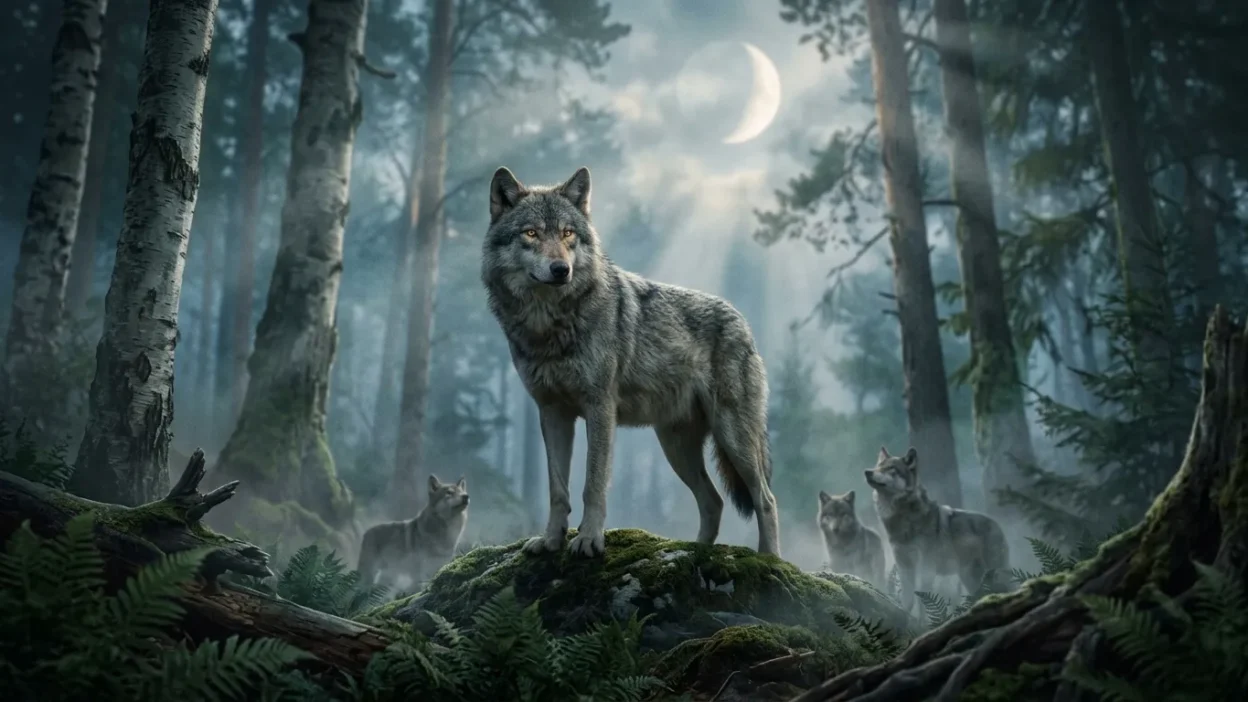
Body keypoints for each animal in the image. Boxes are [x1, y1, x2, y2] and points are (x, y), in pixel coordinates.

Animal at [480, 166, 780, 558]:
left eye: (567, 233)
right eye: (531, 233)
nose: (560, 269)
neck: (549, 324)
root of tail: (743, 322)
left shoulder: (599, 408)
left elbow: (592, 484)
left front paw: (589, 540)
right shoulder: (552, 412)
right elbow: (558, 489)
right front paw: (550, 542)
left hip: (733, 437)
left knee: (766, 499)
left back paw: (771, 560)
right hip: (676, 447)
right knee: (713, 501)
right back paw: (690, 554)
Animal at [865, 446, 1009, 613]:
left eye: (890, 469)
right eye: (878, 466)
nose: (867, 472)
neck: (904, 520)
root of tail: (998, 525)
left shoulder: (926, 568)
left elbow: (922, 599)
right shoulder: (904, 565)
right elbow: (908, 599)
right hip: (970, 579)